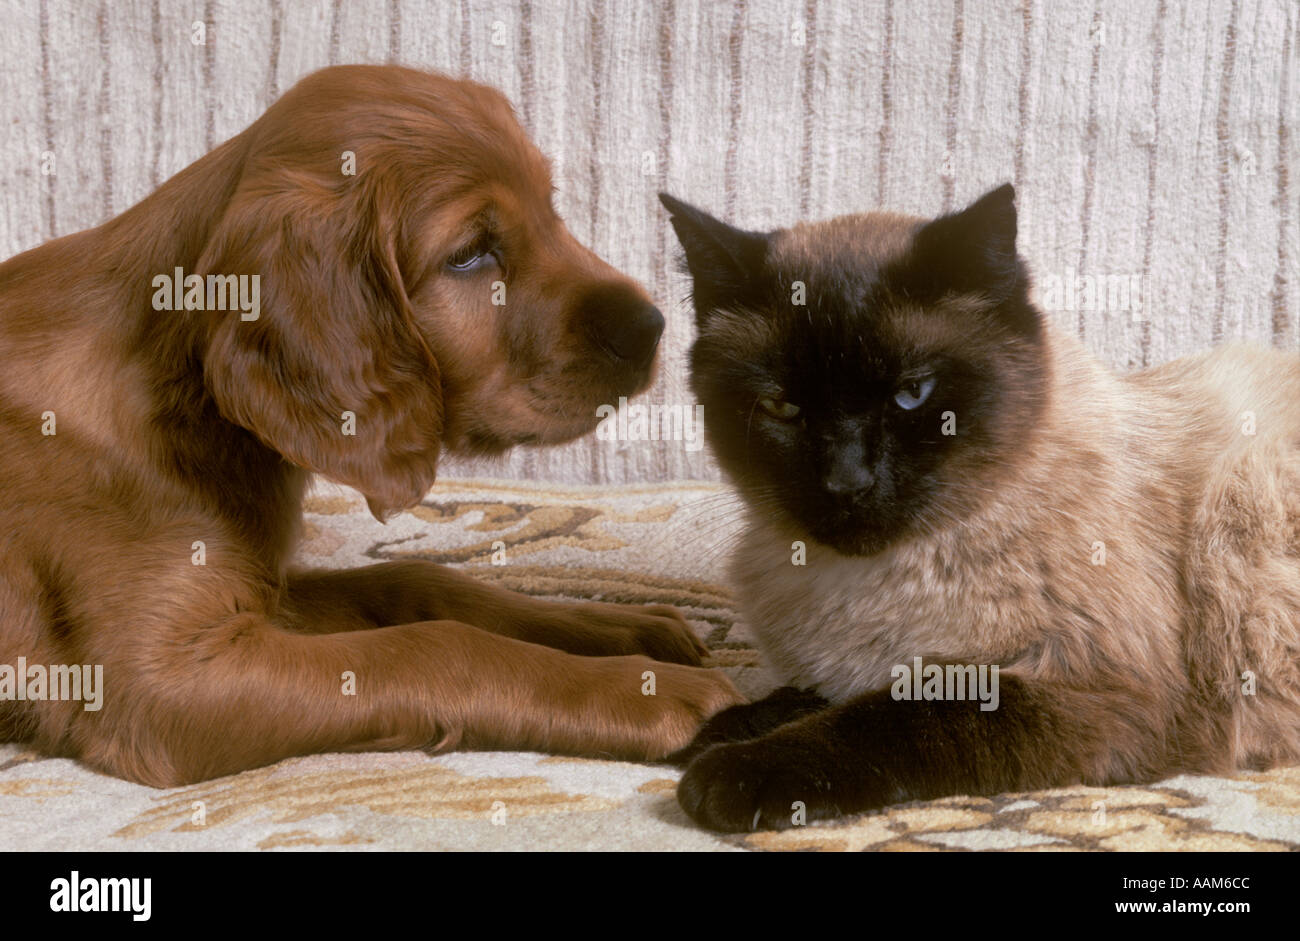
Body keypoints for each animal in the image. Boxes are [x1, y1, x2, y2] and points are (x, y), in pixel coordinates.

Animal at [0, 64, 743, 785]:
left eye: (549, 210)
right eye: (470, 254)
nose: (652, 328)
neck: (173, 392)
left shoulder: (266, 587)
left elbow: (419, 581)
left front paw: (617, 627)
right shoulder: (162, 682)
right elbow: (435, 645)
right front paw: (644, 688)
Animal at [660, 187, 1300, 831]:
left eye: (911, 394)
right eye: (783, 407)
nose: (847, 482)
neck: (865, 583)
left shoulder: (1094, 686)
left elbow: (895, 715)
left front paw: (731, 772)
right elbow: (802, 699)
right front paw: (711, 732)